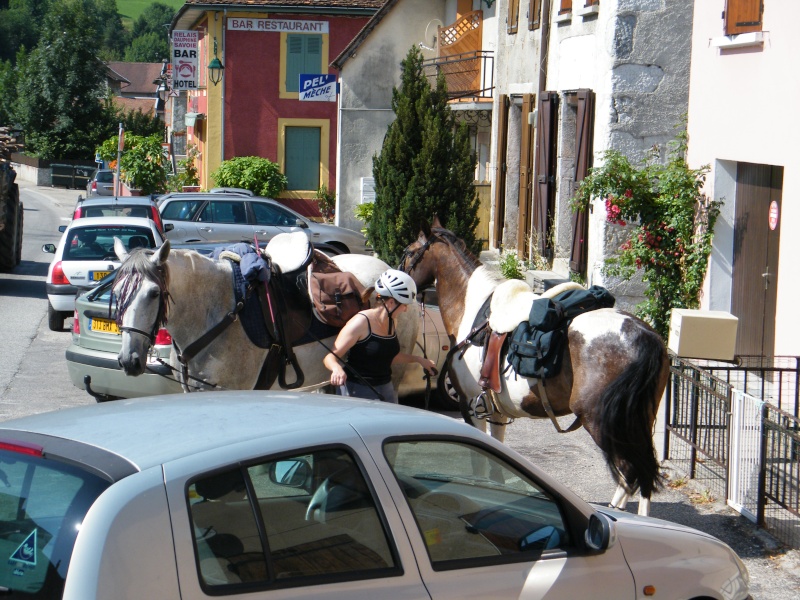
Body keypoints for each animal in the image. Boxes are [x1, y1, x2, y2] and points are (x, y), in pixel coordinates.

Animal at [400, 225, 668, 516]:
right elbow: (495, 463)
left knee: (629, 473)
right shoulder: (495, 410)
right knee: (644, 476)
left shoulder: (470, 405)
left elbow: (480, 464)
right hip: (639, 420)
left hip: (602, 421)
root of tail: (644, 336)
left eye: (409, 252)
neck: (471, 312)